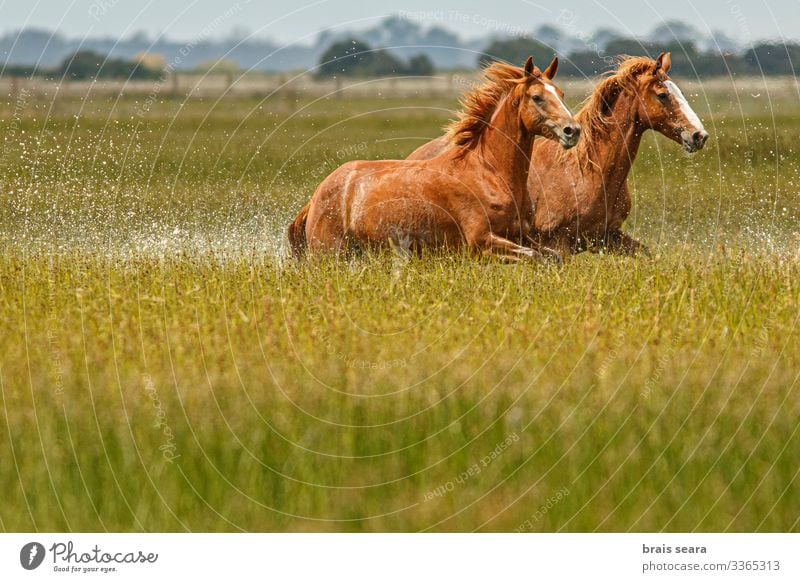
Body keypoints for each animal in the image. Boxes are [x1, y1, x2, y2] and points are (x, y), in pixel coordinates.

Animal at [288, 57, 580, 262]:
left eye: (561, 94)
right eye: (537, 97)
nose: (572, 131)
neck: (489, 172)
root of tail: (316, 196)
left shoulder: (522, 235)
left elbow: (553, 258)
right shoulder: (481, 242)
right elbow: (536, 258)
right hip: (330, 254)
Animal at [410, 52, 708, 258]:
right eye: (662, 95)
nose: (699, 136)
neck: (590, 170)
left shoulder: (607, 237)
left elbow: (649, 256)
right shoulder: (559, 242)